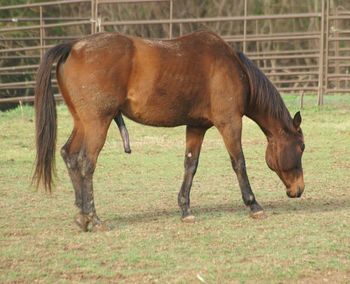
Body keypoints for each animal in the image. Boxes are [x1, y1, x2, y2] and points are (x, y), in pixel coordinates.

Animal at [33, 30, 306, 231]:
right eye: (301, 147)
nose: (299, 189)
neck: (232, 67)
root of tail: (74, 46)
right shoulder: (230, 123)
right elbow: (239, 163)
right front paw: (253, 205)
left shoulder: (196, 126)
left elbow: (190, 165)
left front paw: (185, 209)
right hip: (97, 123)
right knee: (86, 163)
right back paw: (93, 217)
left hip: (83, 123)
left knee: (69, 156)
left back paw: (82, 216)